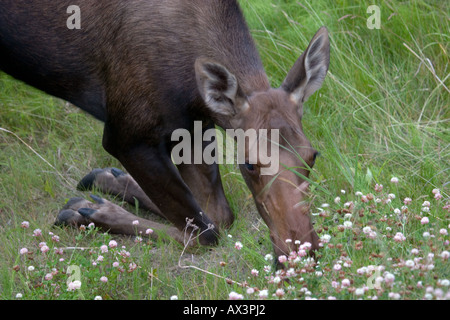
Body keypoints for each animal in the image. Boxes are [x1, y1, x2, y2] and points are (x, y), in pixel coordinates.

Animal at [0, 0, 330, 260]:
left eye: (313, 156)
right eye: (248, 163)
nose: (303, 247)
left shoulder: (192, 126)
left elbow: (217, 215)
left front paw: (111, 186)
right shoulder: (126, 135)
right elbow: (204, 232)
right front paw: (92, 211)